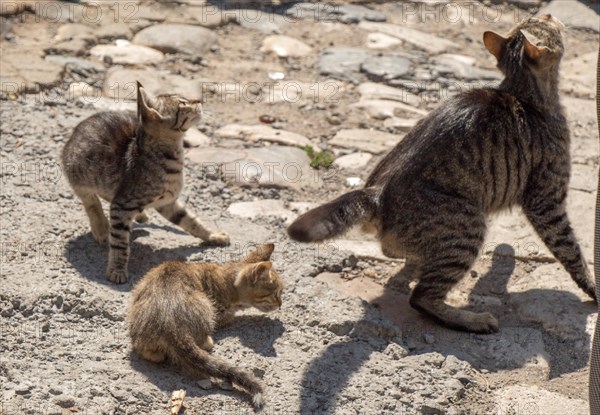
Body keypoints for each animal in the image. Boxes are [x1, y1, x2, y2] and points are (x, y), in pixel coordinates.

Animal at [61, 82, 230, 282]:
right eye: (182, 103)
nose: (199, 100)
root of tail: (77, 129)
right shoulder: (122, 205)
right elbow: (120, 242)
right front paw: (117, 269)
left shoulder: (168, 202)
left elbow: (191, 221)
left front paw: (213, 235)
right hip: (79, 173)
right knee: (90, 200)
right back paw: (101, 228)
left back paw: (139, 216)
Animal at [126, 244, 284, 410]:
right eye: (275, 294)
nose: (280, 304)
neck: (227, 281)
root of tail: (171, 324)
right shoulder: (221, 313)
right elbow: (229, 317)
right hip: (205, 304)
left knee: (146, 350)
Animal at [288, 15, 596, 334]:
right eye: (541, 20)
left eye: (533, 20)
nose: (550, 15)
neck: (524, 94)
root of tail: (377, 195)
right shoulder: (546, 202)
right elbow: (570, 250)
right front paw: (592, 289)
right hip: (468, 228)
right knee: (421, 297)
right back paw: (474, 320)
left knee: (394, 253)